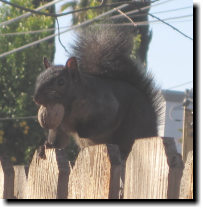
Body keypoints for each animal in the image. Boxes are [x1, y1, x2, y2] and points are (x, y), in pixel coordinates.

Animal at [33, 23, 163, 156]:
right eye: (39, 78)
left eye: (61, 82)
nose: (36, 98)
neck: (68, 107)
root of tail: (153, 130)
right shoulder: (59, 126)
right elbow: (58, 140)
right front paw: (46, 146)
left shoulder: (106, 105)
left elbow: (103, 122)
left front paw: (82, 130)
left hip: (133, 128)